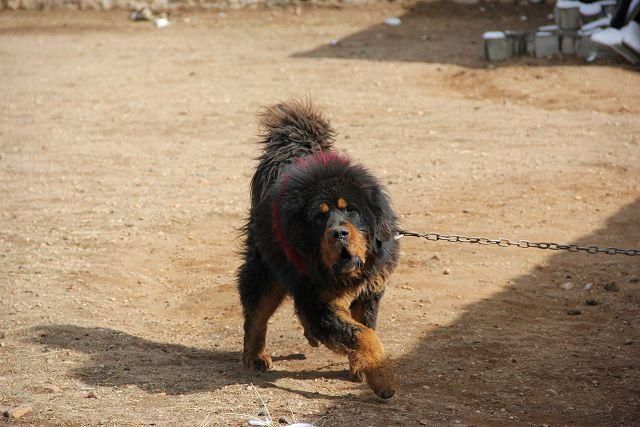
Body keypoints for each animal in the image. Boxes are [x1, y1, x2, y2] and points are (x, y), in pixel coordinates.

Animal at [239, 99, 400, 398]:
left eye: (351, 210)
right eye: (320, 216)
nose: (339, 233)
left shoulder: (368, 293)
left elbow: (363, 328)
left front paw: (362, 367)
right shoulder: (319, 302)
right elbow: (364, 335)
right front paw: (383, 379)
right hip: (266, 269)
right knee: (256, 314)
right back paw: (254, 355)